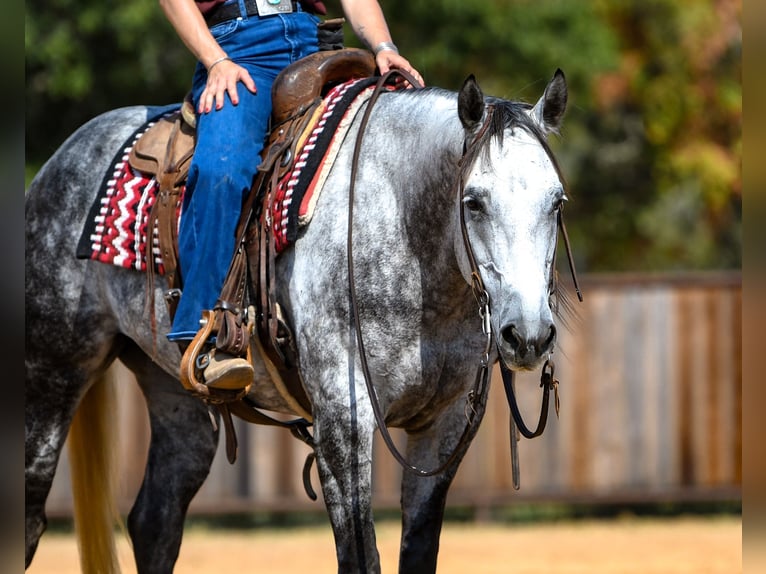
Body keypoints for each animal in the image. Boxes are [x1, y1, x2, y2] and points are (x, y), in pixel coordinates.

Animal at [25, 68, 570, 573]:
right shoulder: (343, 420)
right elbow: (359, 557)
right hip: (53, 373)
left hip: (173, 396)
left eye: (557, 201)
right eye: (473, 201)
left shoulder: (445, 425)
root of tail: (60, 160)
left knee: (155, 519)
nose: (528, 335)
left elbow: (417, 553)